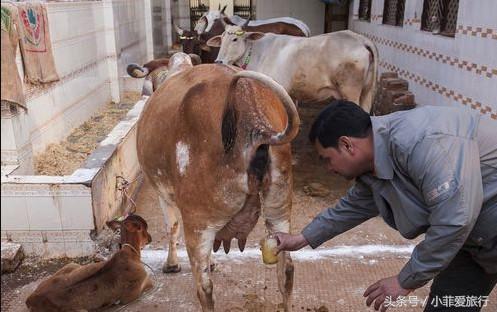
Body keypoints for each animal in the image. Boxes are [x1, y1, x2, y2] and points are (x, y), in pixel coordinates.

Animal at [136, 60, 298, 310]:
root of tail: (254, 123)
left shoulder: (164, 195)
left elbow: (171, 227)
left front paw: (171, 264)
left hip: (198, 222)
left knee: (205, 288)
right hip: (279, 210)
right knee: (287, 271)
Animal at [207, 25, 378, 113]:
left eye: (235, 39)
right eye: (221, 39)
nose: (219, 61)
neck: (257, 52)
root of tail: (359, 39)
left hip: (350, 90)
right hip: (366, 92)